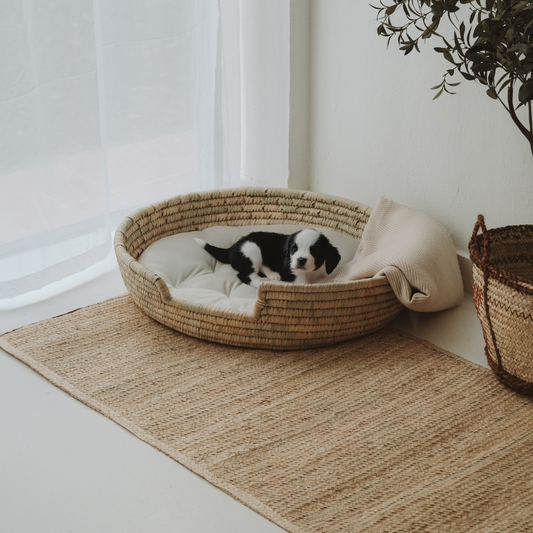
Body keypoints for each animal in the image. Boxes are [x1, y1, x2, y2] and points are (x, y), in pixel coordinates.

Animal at [195, 228, 340, 286]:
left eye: (315, 251)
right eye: (294, 249)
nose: (300, 260)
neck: (311, 274)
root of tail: (233, 247)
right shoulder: (296, 278)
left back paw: (272, 274)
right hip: (252, 249)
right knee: (246, 275)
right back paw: (260, 282)